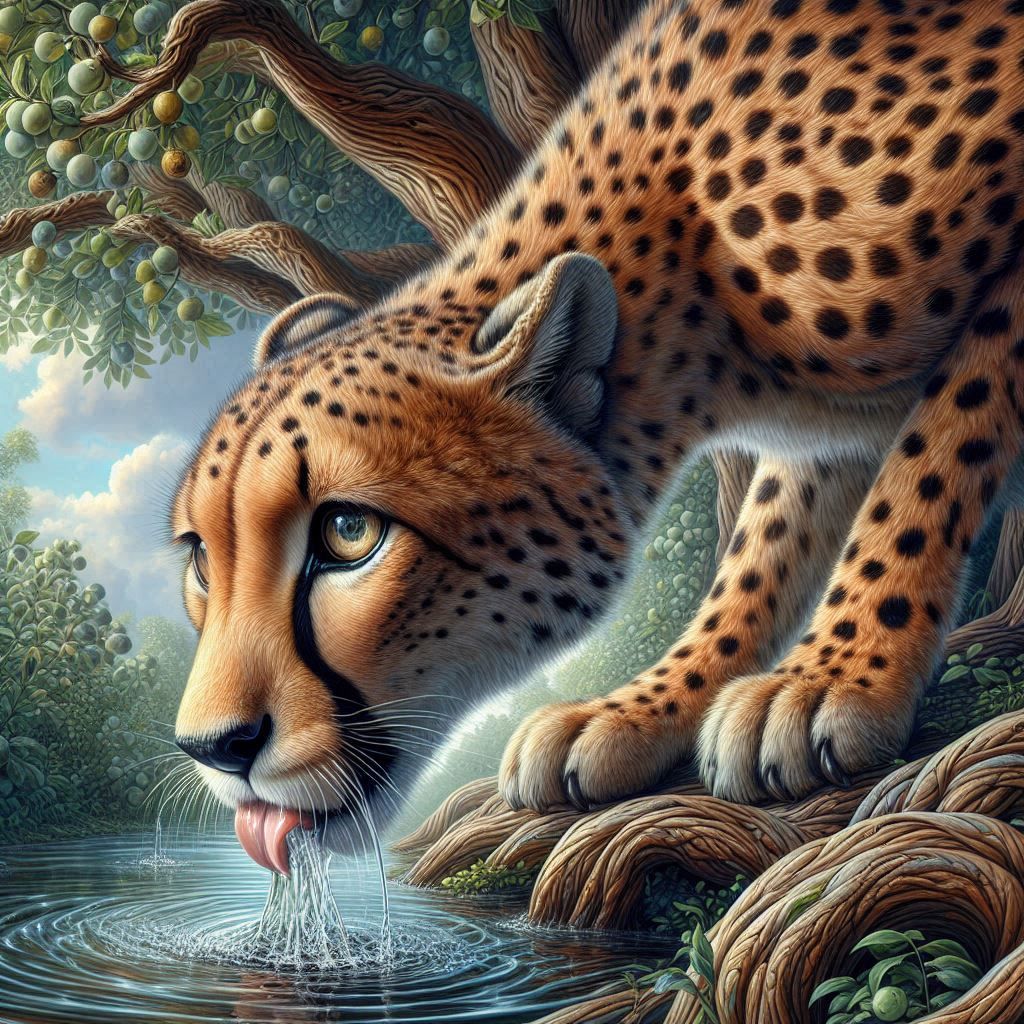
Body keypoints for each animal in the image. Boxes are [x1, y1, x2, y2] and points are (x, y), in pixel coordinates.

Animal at [172, 0, 1024, 863]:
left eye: (349, 534)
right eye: (203, 558)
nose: (213, 748)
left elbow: (930, 464)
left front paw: (835, 679)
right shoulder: (824, 430)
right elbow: (767, 537)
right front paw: (642, 709)